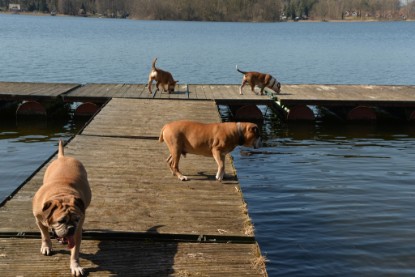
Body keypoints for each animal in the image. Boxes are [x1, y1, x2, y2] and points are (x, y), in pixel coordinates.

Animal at [32, 141, 92, 274]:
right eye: (61, 221)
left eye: (77, 219)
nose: (71, 228)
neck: (61, 194)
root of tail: (62, 157)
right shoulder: (39, 220)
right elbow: (45, 235)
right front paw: (46, 246)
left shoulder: (76, 233)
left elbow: (75, 251)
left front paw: (75, 266)